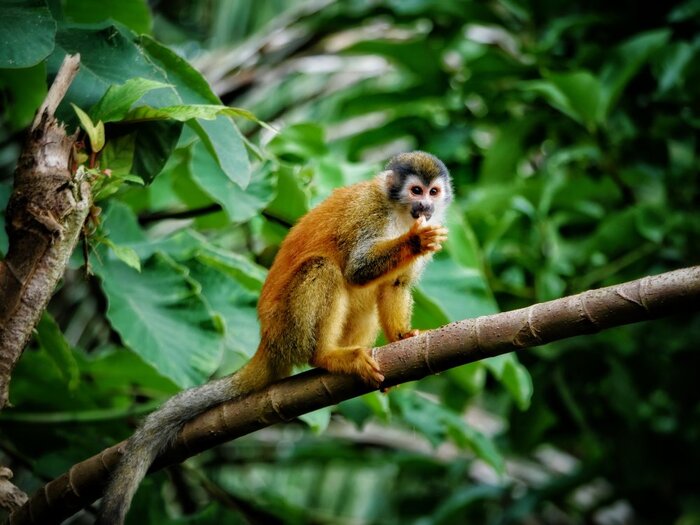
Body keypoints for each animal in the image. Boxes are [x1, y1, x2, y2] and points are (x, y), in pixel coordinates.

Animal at [98, 149, 454, 520]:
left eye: (433, 193)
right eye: (416, 191)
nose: (425, 207)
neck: (397, 211)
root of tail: (267, 342)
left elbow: (396, 283)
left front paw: (402, 337)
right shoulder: (369, 212)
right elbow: (358, 269)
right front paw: (414, 240)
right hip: (289, 329)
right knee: (324, 268)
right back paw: (328, 356)